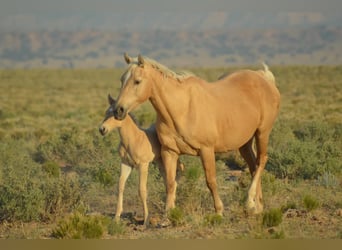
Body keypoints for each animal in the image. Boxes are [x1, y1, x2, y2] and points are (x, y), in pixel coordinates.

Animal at [99, 94, 184, 227]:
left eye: (115, 115)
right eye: (106, 112)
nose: (102, 129)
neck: (133, 140)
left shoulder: (143, 165)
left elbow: (142, 190)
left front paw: (146, 220)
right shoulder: (126, 164)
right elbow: (120, 186)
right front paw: (116, 218)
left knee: (177, 175)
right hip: (160, 163)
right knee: (168, 182)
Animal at [113, 53, 280, 216]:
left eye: (137, 81)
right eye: (121, 79)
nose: (118, 110)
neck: (182, 109)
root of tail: (263, 77)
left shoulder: (206, 150)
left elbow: (210, 181)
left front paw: (219, 211)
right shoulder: (169, 151)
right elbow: (170, 182)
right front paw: (168, 214)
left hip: (262, 133)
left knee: (261, 161)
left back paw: (250, 201)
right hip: (244, 143)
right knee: (253, 166)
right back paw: (257, 206)